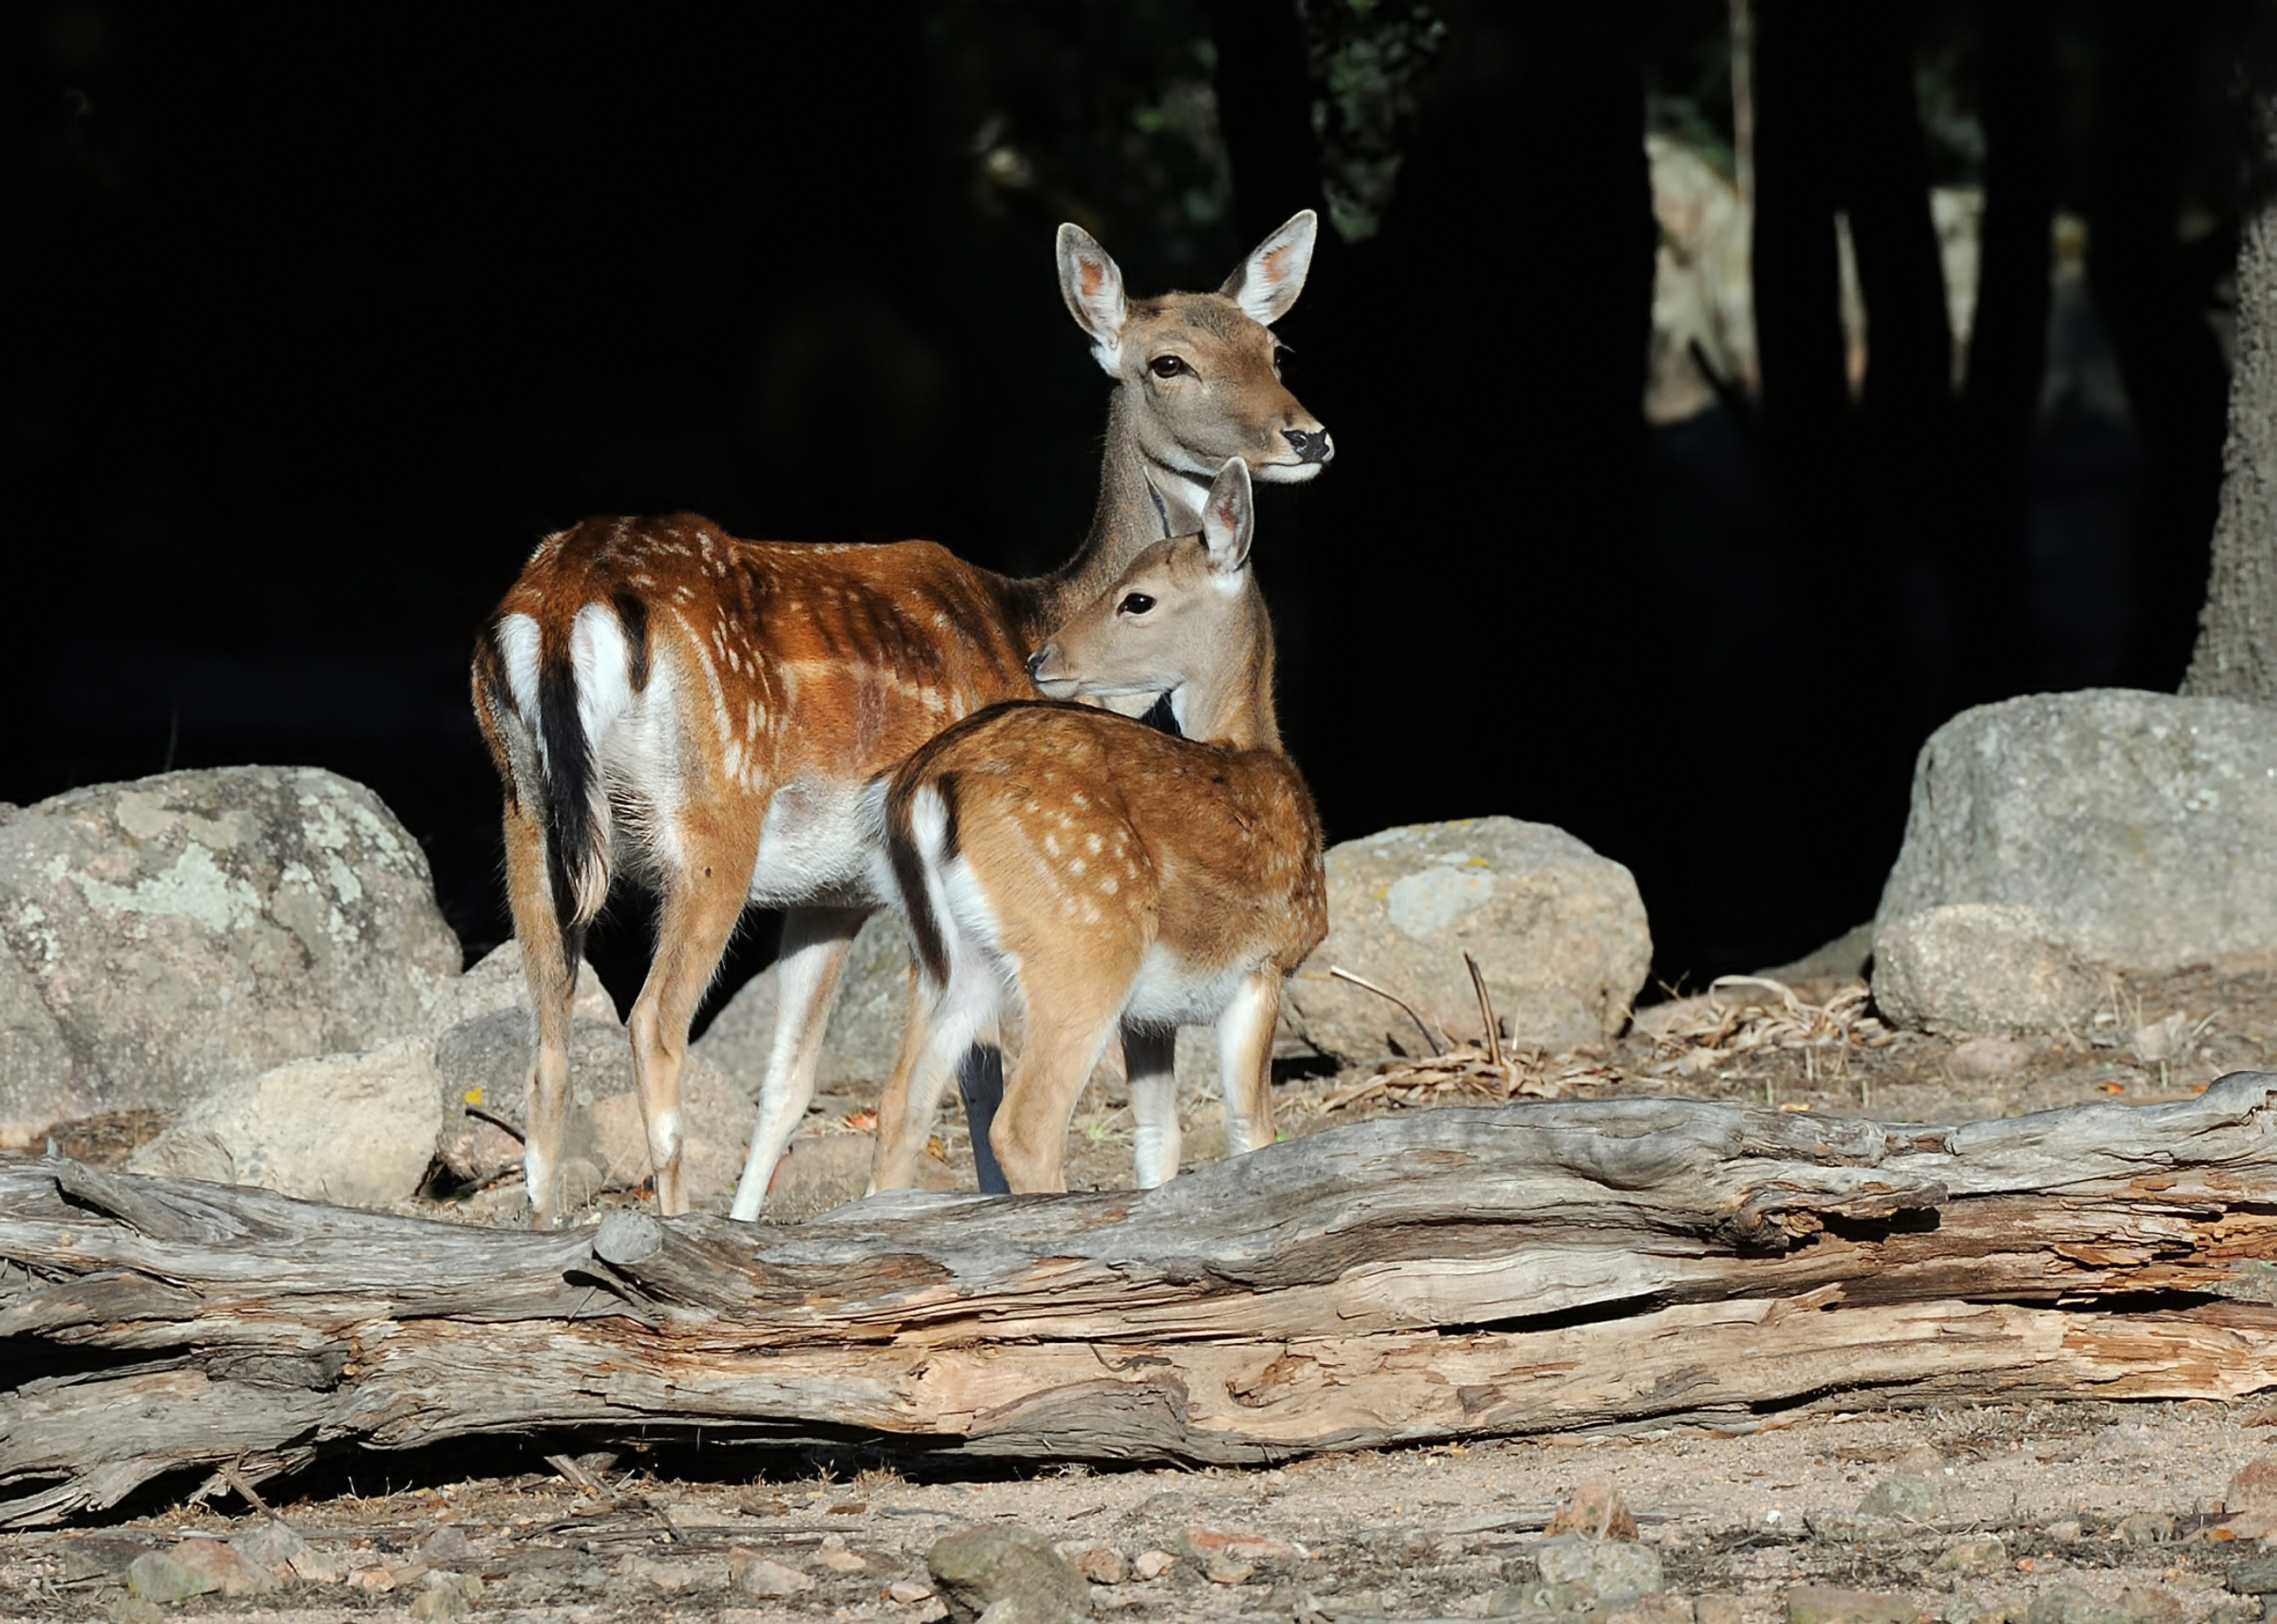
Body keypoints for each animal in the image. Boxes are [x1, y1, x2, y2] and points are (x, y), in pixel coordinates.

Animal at [864, 457, 1327, 1196]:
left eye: (1137, 600)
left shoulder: (1152, 1013)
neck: (1251, 747)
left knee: (900, 1106)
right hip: (1086, 939)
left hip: (945, 961)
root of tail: (922, 786)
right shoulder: (1267, 962)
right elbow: (1251, 1131)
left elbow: (1159, 1140)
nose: (1040, 658)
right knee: (1024, 1128)